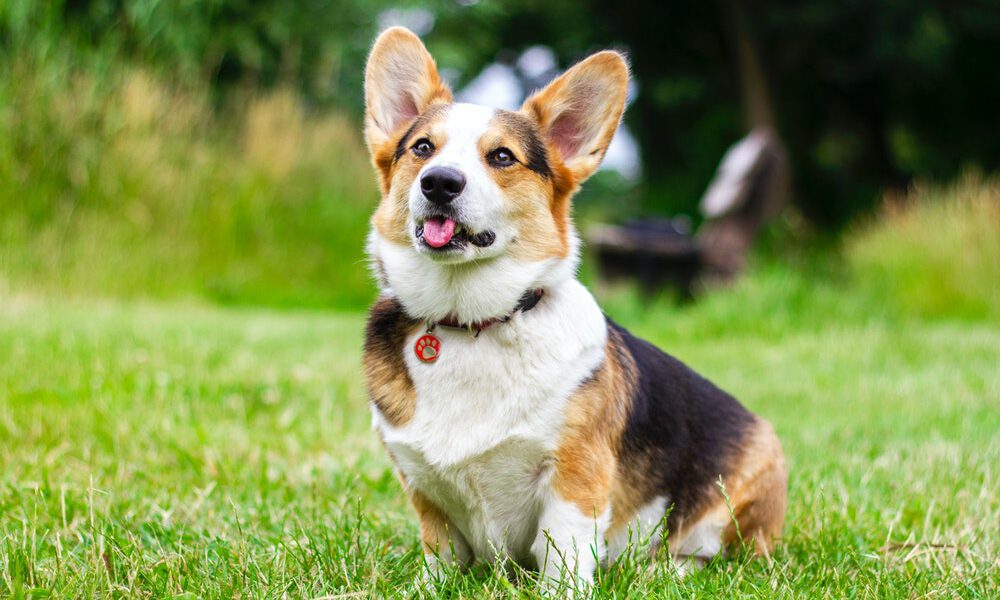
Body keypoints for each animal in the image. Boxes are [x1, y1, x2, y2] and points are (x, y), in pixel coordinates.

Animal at [362, 25, 788, 588]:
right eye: (422, 148)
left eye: (502, 157)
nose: (439, 182)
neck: (471, 322)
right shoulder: (423, 485)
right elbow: (440, 555)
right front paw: (426, 587)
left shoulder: (573, 474)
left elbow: (562, 550)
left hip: (743, 495)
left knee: (720, 556)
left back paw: (667, 569)